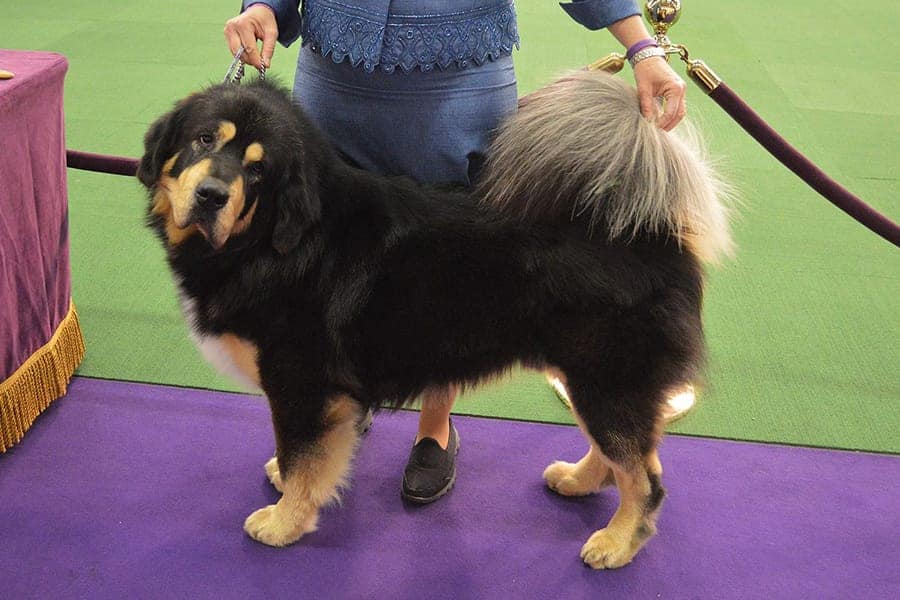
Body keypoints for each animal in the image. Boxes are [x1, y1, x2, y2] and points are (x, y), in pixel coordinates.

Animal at [139, 72, 732, 568]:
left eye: (258, 169)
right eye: (203, 140)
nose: (211, 196)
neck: (277, 240)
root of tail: (656, 232)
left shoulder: (302, 383)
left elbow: (303, 456)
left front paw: (285, 521)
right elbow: (307, 455)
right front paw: (284, 485)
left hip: (605, 380)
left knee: (645, 477)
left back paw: (617, 543)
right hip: (589, 378)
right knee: (618, 456)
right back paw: (578, 480)